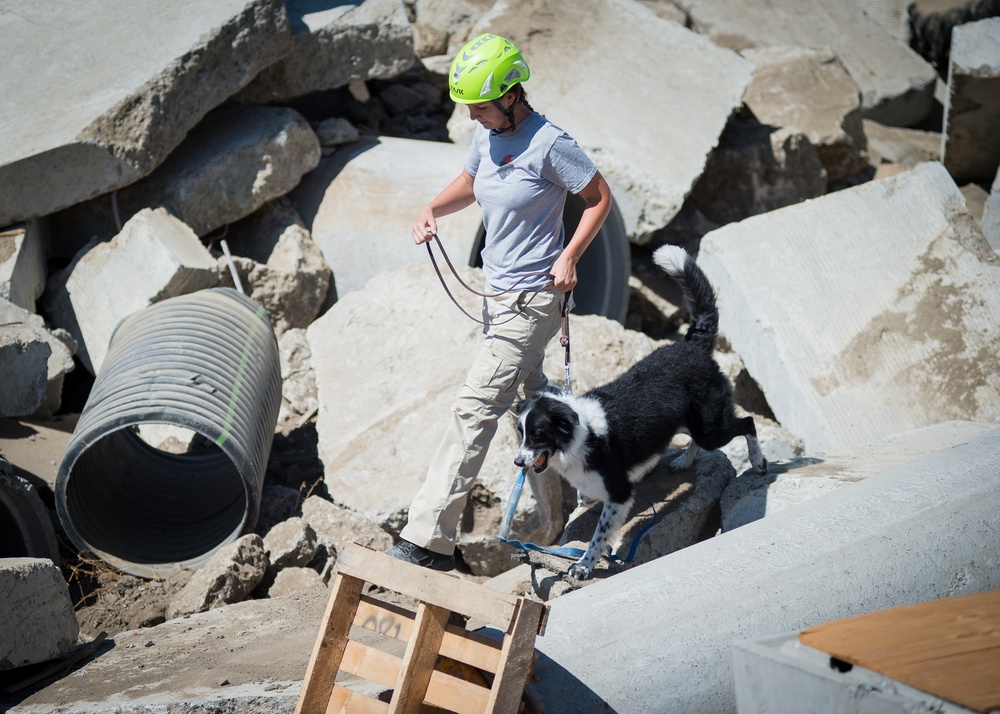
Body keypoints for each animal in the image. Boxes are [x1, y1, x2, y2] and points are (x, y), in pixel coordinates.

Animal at [512, 245, 768, 580]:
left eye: (539, 434)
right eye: (521, 433)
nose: (518, 462)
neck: (580, 435)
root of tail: (693, 345)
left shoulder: (620, 493)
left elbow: (598, 535)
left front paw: (584, 566)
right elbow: (591, 506)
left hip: (710, 426)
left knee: (747, 423)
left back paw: (758, 461)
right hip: (687, 420)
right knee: (698, 438)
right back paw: (684, 461)